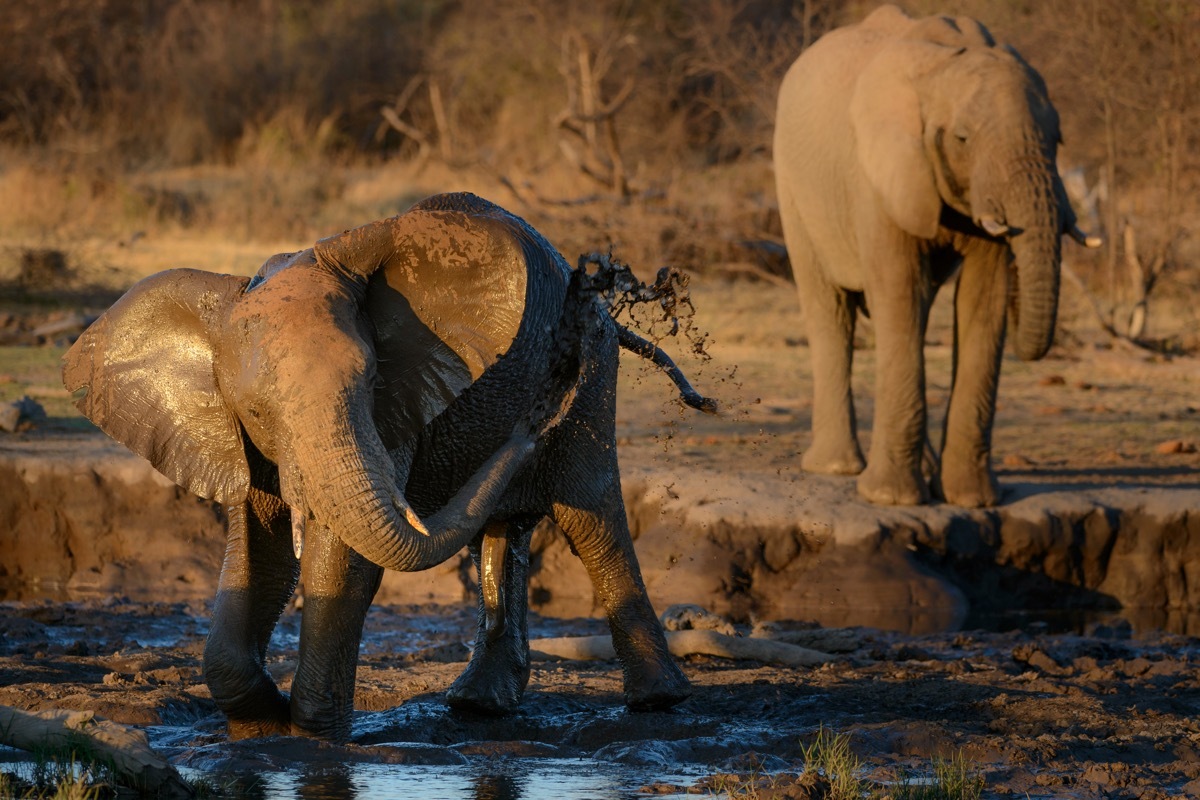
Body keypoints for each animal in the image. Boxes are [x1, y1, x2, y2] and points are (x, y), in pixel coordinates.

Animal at [63, 192, 714, 742]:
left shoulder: (392, 407)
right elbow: (258, 550)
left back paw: (658, 702)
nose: (544, 402)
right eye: (256, 410)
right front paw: (261, 724)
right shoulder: (242, 438)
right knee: (505, 530)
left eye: (368, 380)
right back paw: (479, 705)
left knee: (591, 518)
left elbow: (340, 558)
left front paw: (313, 736)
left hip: (595, 368)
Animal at [773, 5, 1097, 507]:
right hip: (792, 186)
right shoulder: (876, 178)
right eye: (962, 139)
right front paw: (891, 499)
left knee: (915, 314)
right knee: (831, 308)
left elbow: (984, 300)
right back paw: (836, 468)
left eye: (1058, 139)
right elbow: (898, 291)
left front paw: (973, 501)